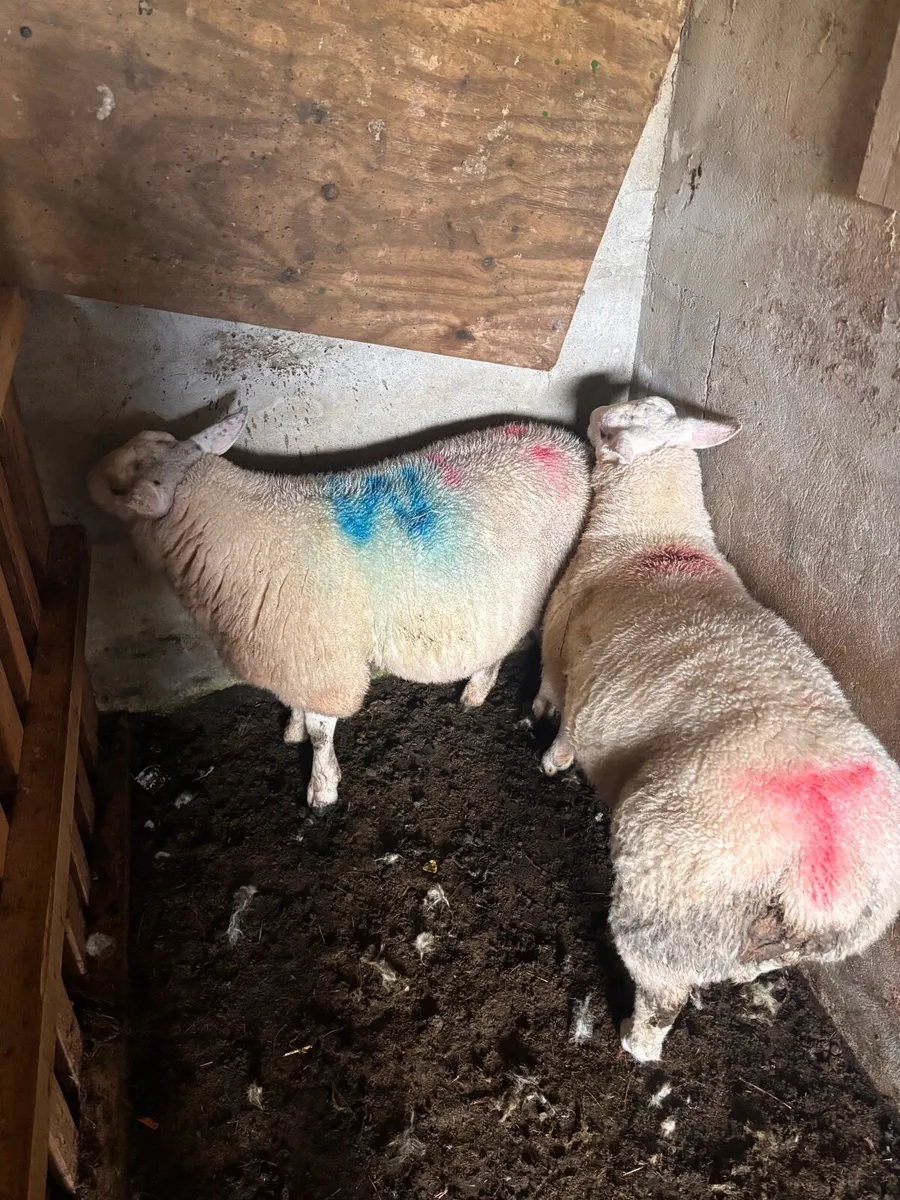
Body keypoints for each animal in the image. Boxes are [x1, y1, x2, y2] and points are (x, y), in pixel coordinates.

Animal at [89, 407, 591, 808]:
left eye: (116, 489)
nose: (85, 472)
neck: (241, 533)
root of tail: (571, 446)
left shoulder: (322, 661)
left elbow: (320, 732)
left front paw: (322, 788)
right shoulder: (294, 653)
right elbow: (296, 707)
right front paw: (290, 728)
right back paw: (476, 691)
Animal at [537, 395, 900, 1062]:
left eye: (612, 425)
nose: (595, 406)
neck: (651, 536)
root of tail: (822, 874)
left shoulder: (562, 636)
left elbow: (558, 705)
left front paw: (551, 756)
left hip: (671, 894)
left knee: (660, 993)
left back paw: (633, 1039)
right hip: (759, 938)